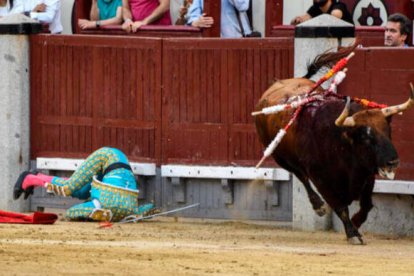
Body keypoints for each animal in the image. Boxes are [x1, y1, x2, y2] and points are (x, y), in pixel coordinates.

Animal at [256, 46, 414, 245]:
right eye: (366, 138)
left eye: (388, 131)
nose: (393, 162)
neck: (341, 143)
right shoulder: (321, 178)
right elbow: (340, 207)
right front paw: (353, 233)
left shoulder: (367, 173)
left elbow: (367, 204)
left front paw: (356, 222)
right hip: (280, 157)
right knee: (300, 175)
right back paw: (318, 206)